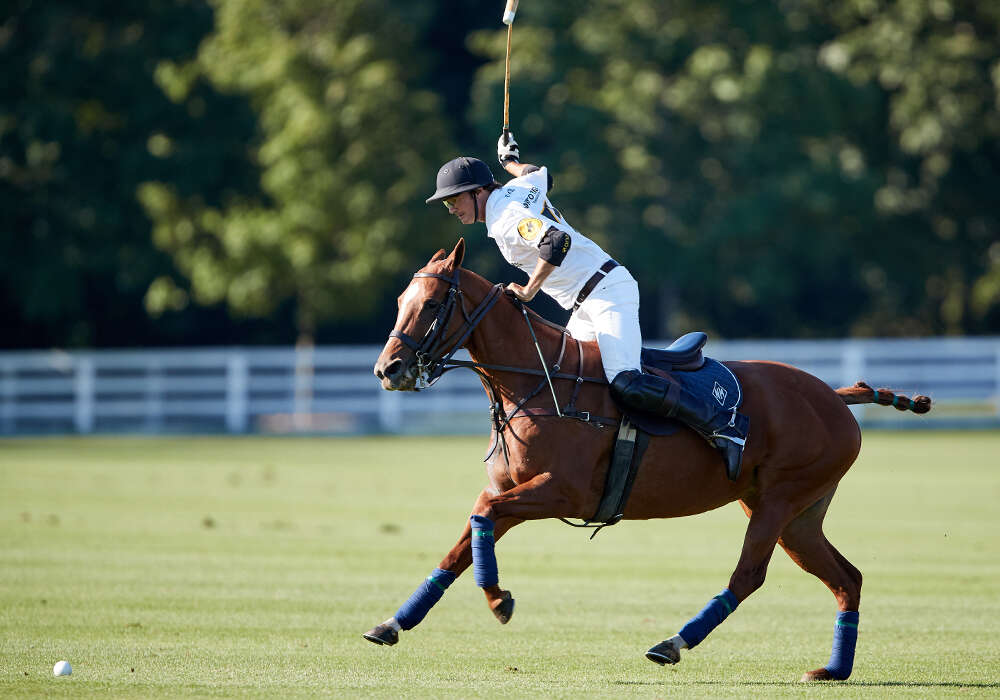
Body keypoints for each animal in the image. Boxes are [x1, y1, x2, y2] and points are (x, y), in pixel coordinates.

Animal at [366, 239, 928, 680]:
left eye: (432, 302)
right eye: (399, 300)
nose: (388, 369)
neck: (536, 381)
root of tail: (835, 396)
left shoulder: (560, 492)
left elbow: (481, 517)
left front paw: (500, 601)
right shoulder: (512, 490)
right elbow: (463, 543)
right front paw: (393, 624)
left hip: (780, 500)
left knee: (749, 576)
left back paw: (671, 644)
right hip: (798, 515)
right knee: (847, 578)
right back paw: (834, 669)